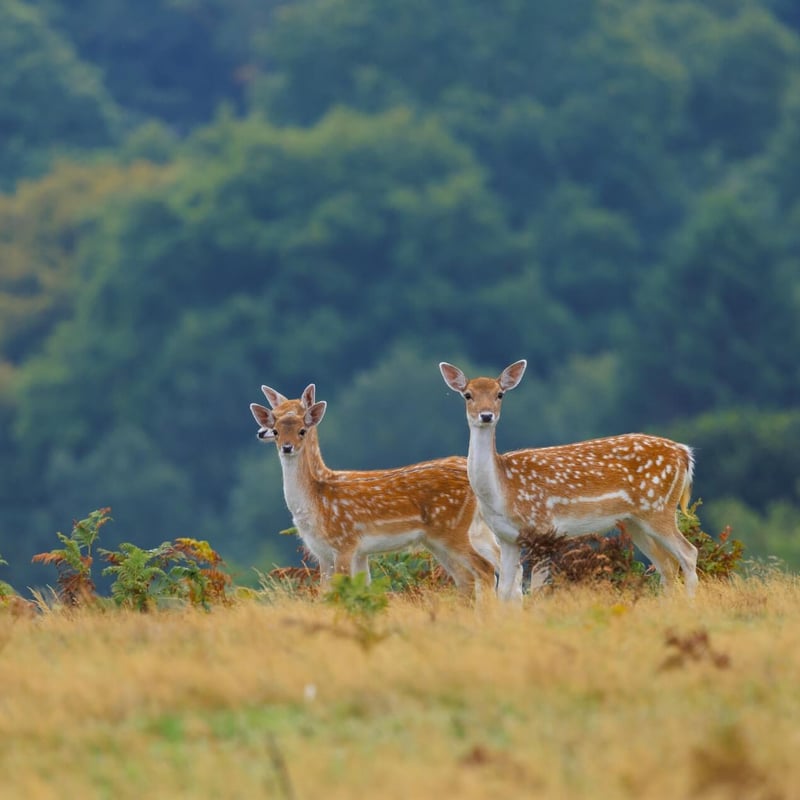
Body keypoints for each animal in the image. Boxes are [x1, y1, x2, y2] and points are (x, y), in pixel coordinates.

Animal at [250, 383, 500, 597]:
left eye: (302, 430)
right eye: (275, 424)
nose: (285, 446)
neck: (316, 499)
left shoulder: (345, 543)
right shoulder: (326, 552)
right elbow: (336, 592)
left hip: (453, 530)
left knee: (485, 568)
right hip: (443, 539)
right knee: (471, 575)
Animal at [439, 360, 699, 602]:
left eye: (499, 394)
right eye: (468, 394)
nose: (486, 415)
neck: (502, 491)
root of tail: (684, 453)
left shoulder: (544, 530)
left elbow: (537, 589)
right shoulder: (507, 538)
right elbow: (504, 591)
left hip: (658, 508)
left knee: (688, 553)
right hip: (634, 520)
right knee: (667, 564)